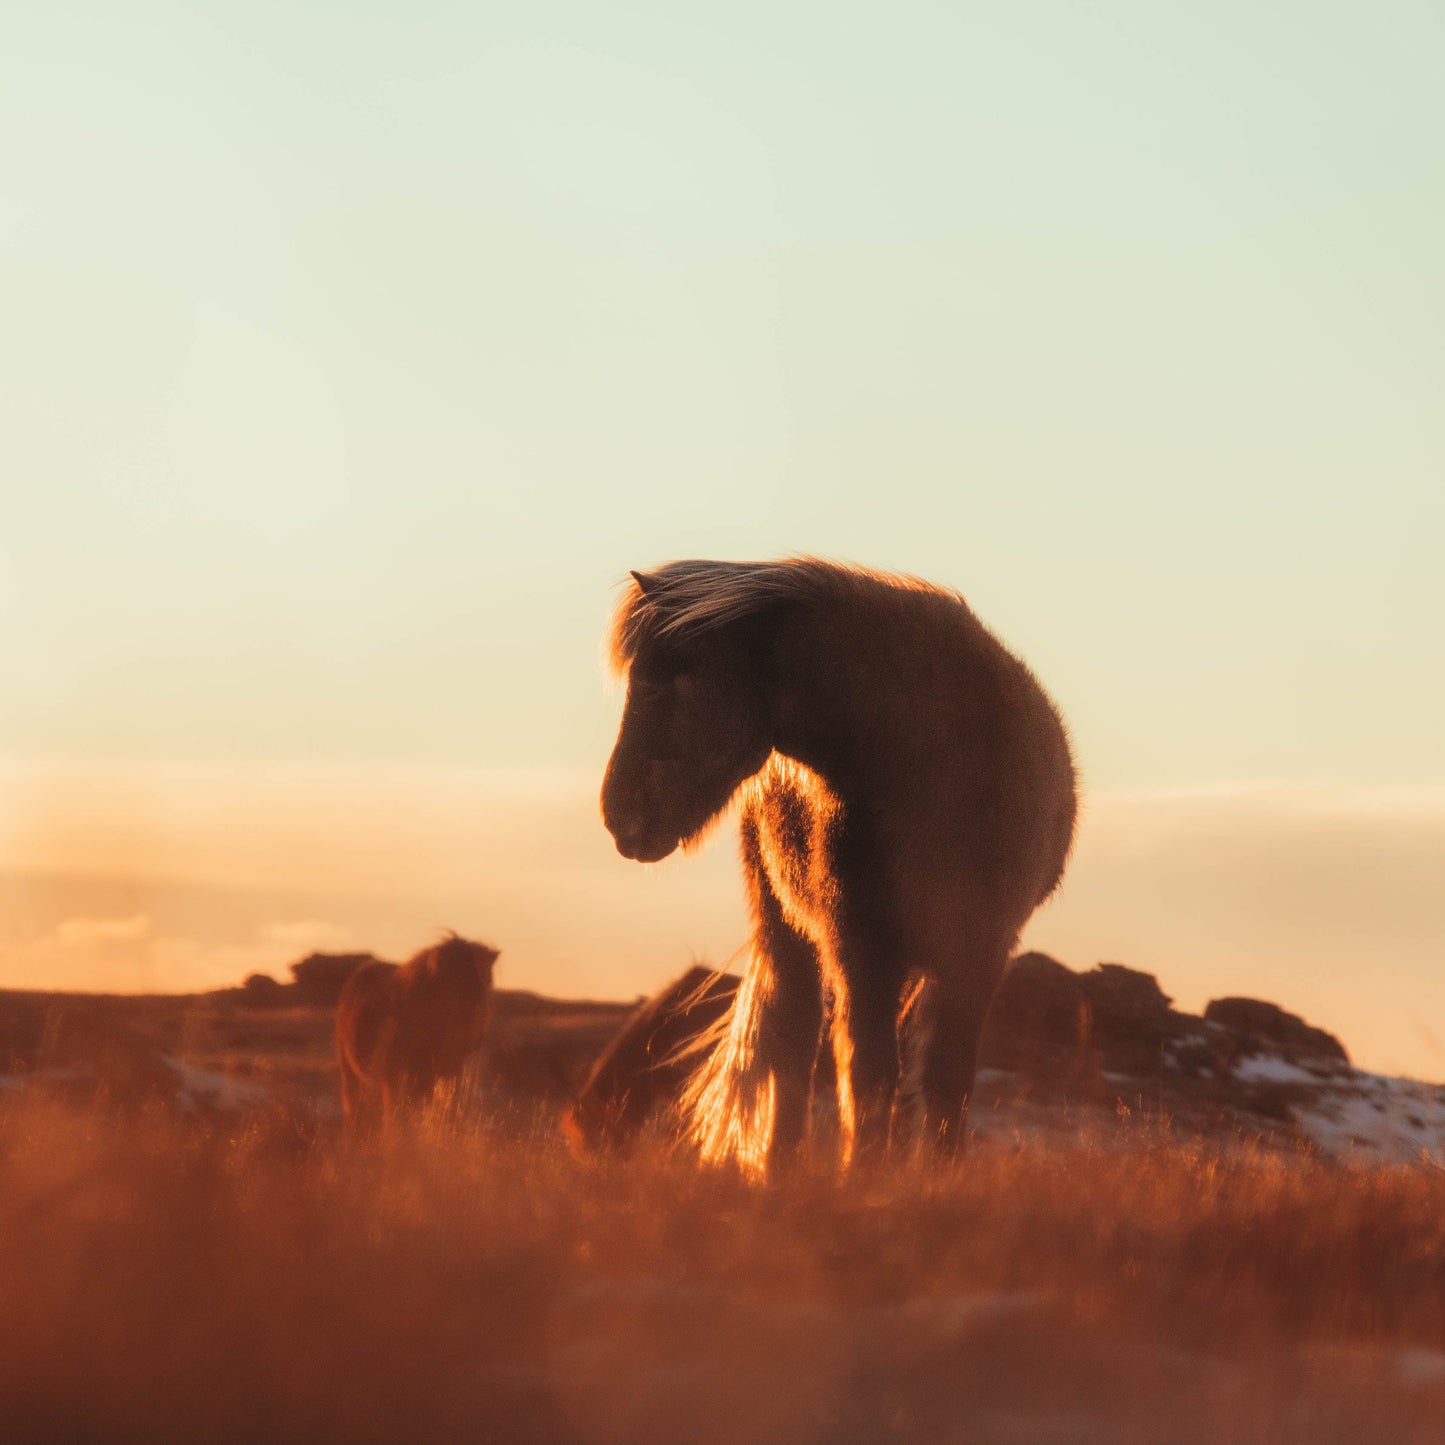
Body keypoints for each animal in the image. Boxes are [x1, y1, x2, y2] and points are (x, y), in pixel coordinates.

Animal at [335, 934, 500, 1130]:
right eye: (458, 977)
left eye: (487, 978)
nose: (478, 1011)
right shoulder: (396, 1072)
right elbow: (398, 1112)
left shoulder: (450, 1069)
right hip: (350, 1070)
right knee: (355, 1104)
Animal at [600, 558, 1077, 1175]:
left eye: (668, 681)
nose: (618, 816)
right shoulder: (863, 945)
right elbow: (867, 1073)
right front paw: (863, 1180)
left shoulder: (980, 951)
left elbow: (947, 1079)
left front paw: (935, 1179)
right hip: (792, 931)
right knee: (792, 1046)